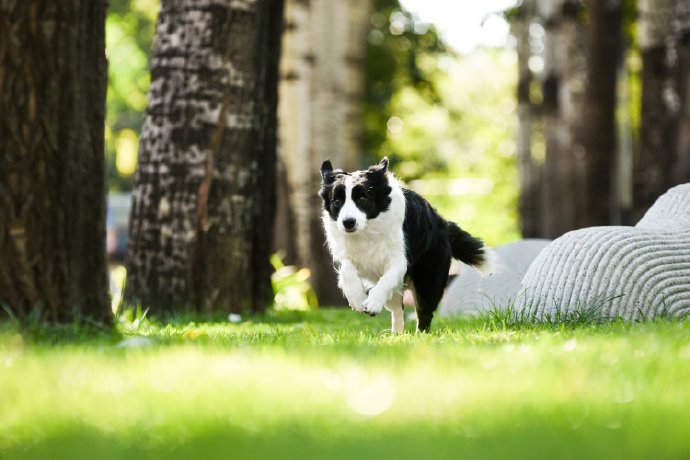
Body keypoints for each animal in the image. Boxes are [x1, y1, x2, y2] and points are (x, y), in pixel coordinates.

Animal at [318, 156, 490, 332]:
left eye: (362, 199)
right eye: (336, 202)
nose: (348, 222)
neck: (367, 229)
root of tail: (441, 222)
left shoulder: (400, 258)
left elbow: (387, 278)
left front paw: (373, 303)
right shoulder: (345, 252)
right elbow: (347, 269)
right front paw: (357, 299)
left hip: (427, 278)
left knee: (424, 313)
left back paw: (420, 335)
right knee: (398, 311)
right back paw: (397, 335)